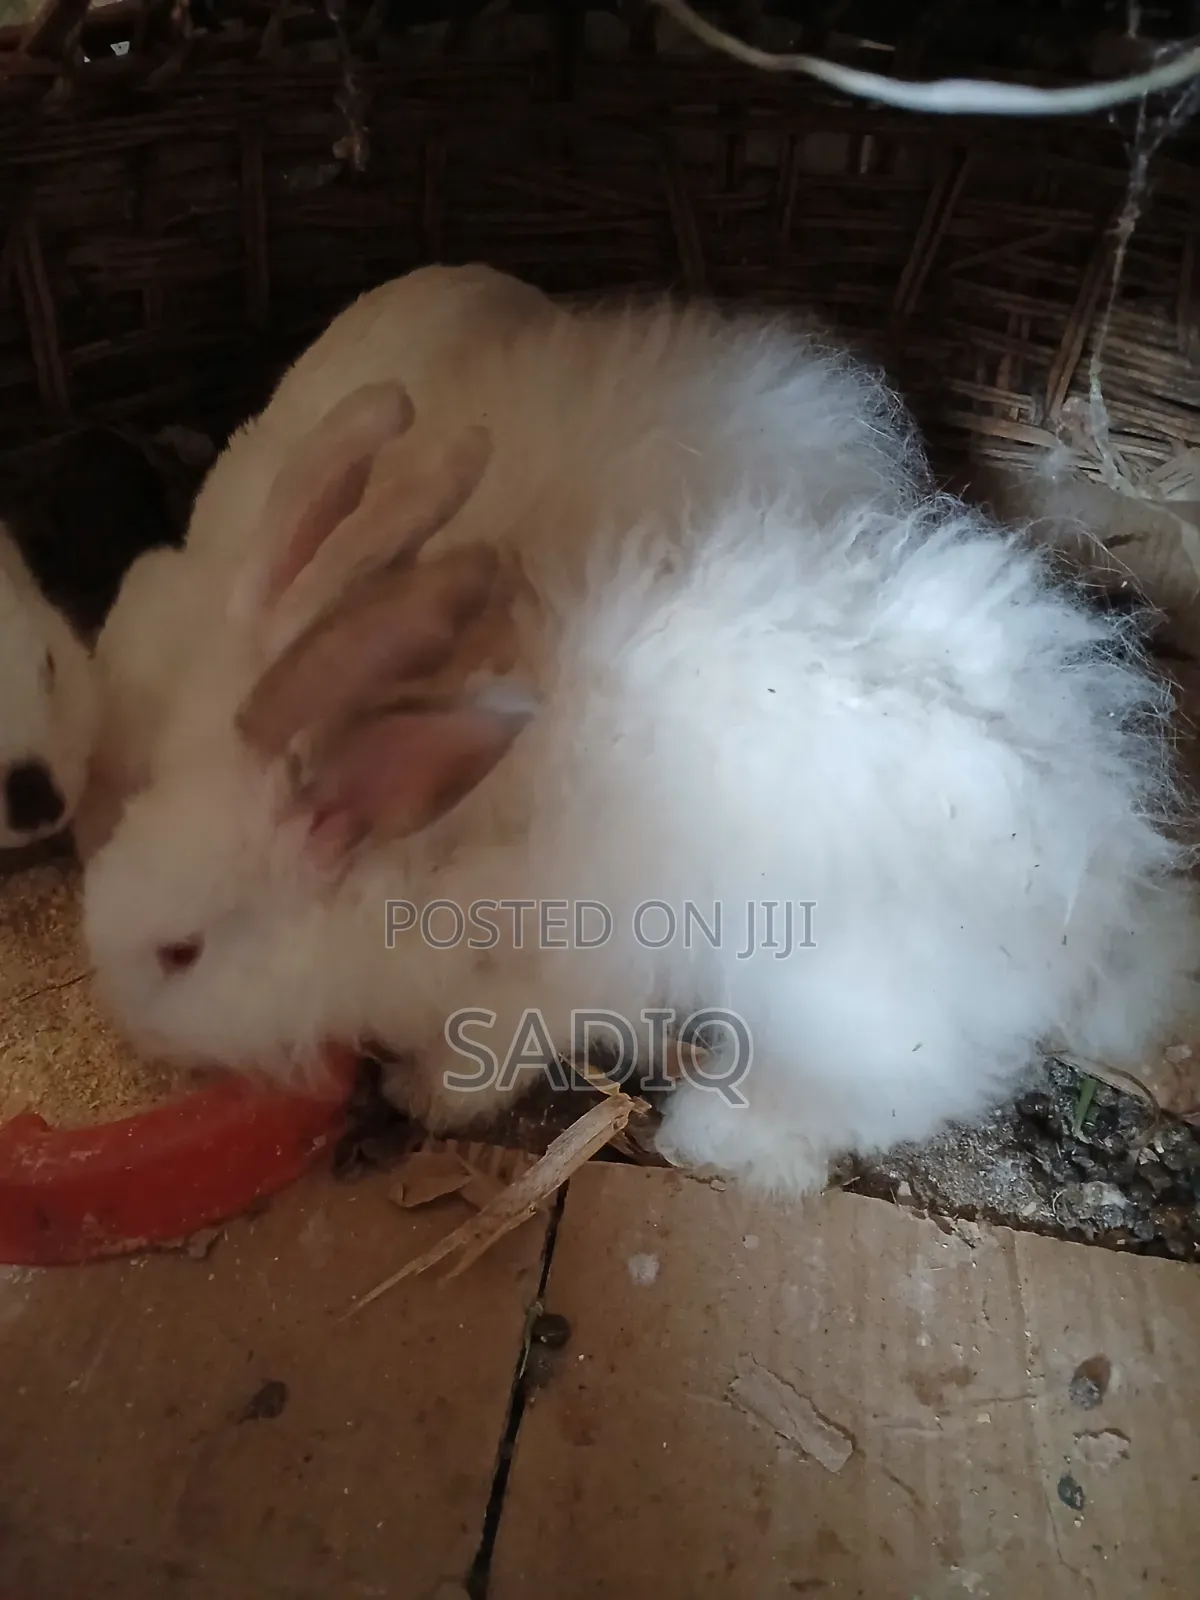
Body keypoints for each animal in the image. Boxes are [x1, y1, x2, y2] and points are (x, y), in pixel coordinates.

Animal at [80, 270, 1200, 1197]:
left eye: (180, 952)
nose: (115, 1011)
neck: (412, 845)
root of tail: (1106, 878)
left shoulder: (548, 972)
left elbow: (499, 1042)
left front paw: (423, 1093)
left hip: (852, 1014)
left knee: (867, 1103)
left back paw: (716, 1134)